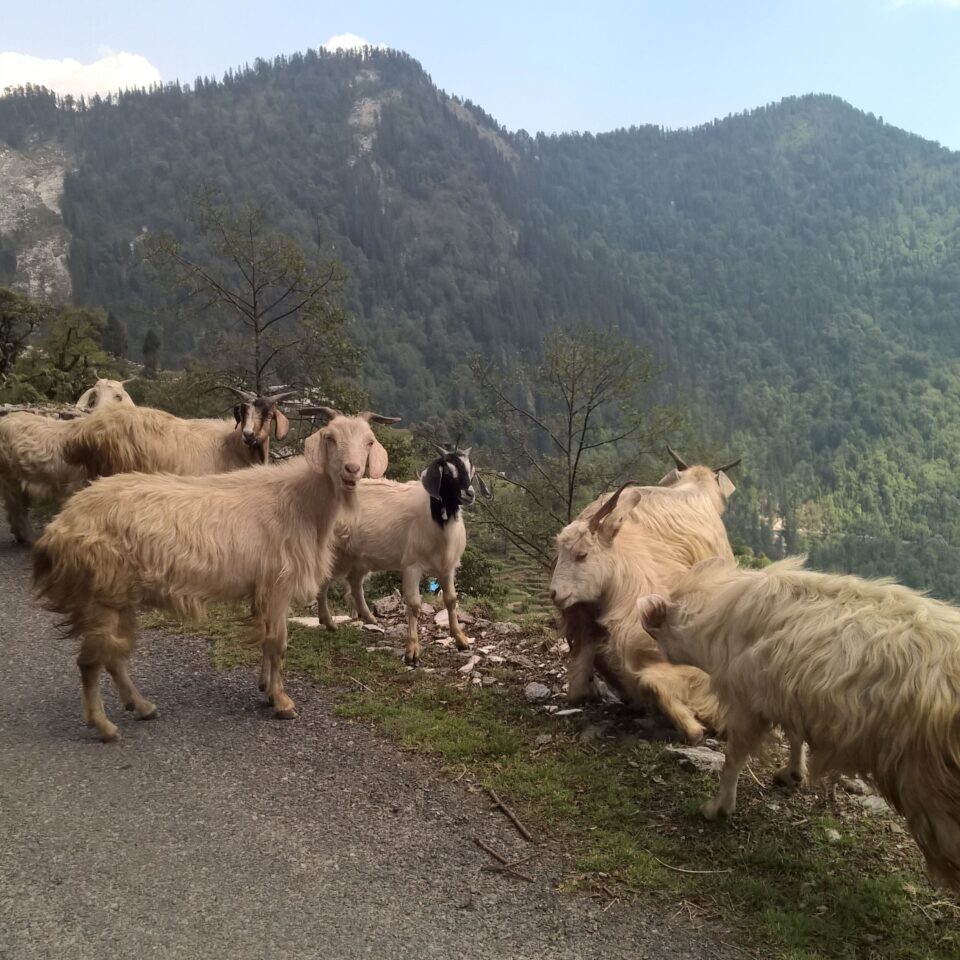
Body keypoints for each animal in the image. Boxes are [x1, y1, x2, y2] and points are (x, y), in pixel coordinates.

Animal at [0, 378, 135, 544]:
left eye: (118, 396)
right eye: (94, 396)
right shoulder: (78, 483)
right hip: (8, 476)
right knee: (18, 508)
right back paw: (30, 538)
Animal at [31, 404, 398, 744]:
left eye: (369, 441)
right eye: (330, 437)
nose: (352, 471)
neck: (298, 501)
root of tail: (61, 523)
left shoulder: (265, 589)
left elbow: (266, 643)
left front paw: (266, 689)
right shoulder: (277, 585)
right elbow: (278, 644)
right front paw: (283, 702)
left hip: (118, 596)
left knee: (114, 656)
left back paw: (142, 706)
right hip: (102, 594)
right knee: (90, 662)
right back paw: (105, 726)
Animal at [318, 444, 492, 664]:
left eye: (472, 471)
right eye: (447, 472)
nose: (469, 494)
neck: (437, 521)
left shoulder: (447, 567)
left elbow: (451, 599)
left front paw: (461, 639)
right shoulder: (411, 565)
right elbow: (414, 604)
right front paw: (412, 650)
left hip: (360, 558)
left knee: (355, 583)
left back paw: (369, 617)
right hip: (335, 552)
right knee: (324, 581)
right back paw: (328, 622)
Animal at [636, 556, 960, 892]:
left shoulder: (748, 703)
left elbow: (733, 759)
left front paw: (717, 808)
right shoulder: (786, 694)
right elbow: (794, 736)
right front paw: (793, 774)